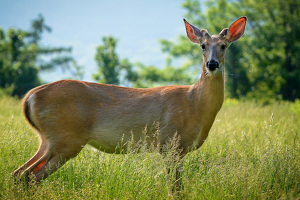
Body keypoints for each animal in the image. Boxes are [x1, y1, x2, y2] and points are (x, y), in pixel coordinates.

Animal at [13, 16, 246, 187]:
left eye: (224, 46)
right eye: (203, 46)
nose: (212, 64)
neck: (194, 104)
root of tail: (30, 97)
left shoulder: (177, 150)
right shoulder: (169, 142)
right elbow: (175, 188)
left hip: (48, 138)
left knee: (19, 173)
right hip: (65, 138)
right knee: (29, 176)